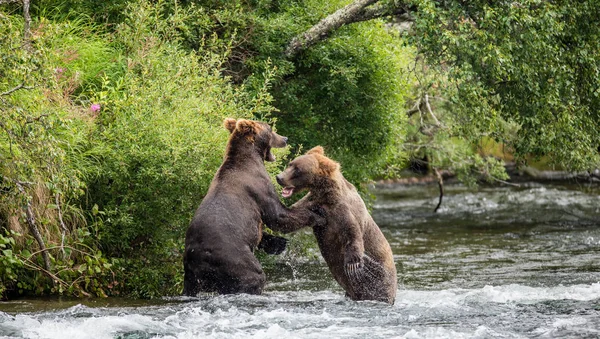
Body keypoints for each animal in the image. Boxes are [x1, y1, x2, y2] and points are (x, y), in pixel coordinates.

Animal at [184, 118, 326, 296]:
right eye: (270, 129)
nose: (285, 138)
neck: (251, 158)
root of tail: (197, 258)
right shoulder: (258, 187)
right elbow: (278, 216)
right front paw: (317, 215)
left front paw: (277, 243)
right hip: (234, 257)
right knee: (254, 276)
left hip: (191, 278)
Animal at [276, 147, 398, 306]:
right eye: (291, 163)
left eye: (297, 169)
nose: (279, 177)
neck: (326, 194)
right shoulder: (312, 201)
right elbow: (292, 217)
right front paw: (316, 217)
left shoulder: (342, 210)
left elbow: (353, 231)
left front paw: (352, 264)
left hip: (381, 279)